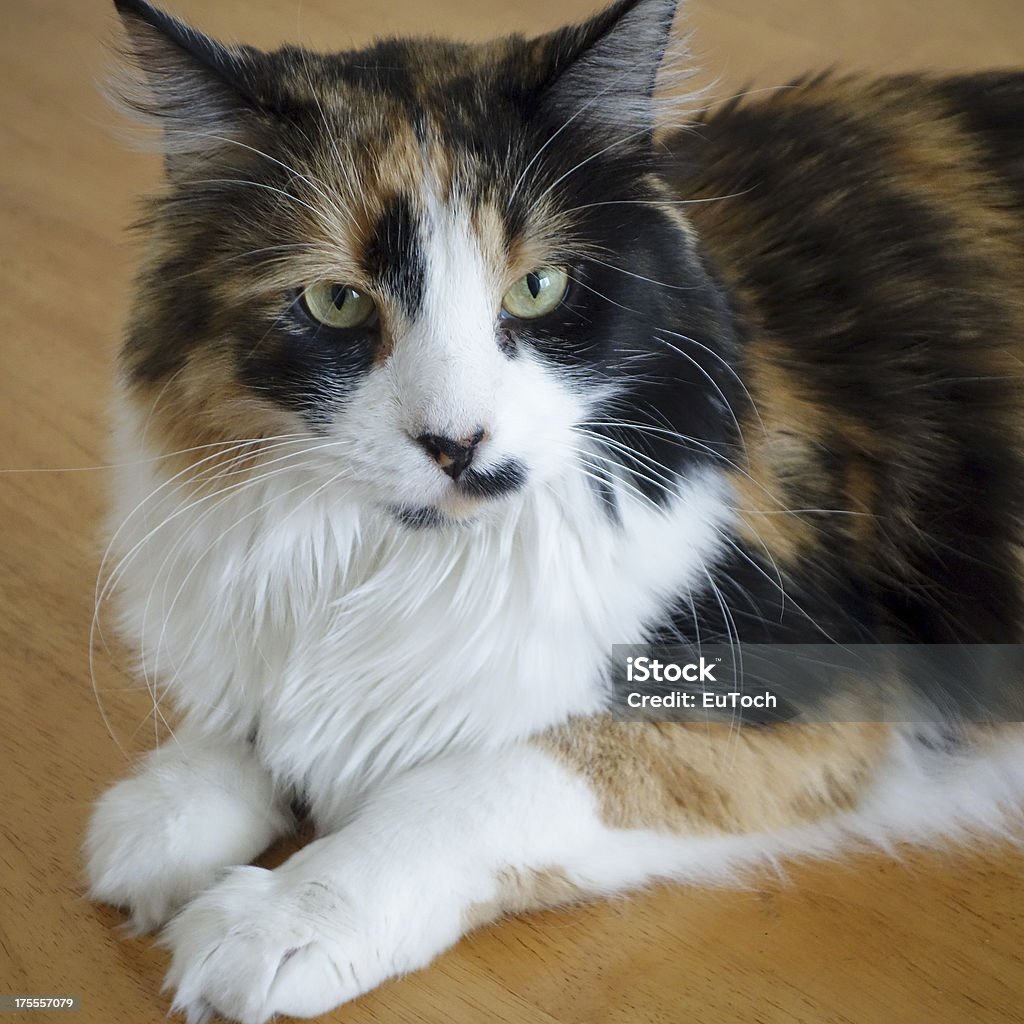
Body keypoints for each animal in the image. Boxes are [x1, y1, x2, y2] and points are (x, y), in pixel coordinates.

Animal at [83, 2, 1024, 1024]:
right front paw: (160, 815)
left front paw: (279, 920)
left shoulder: (801, 691)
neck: (399, 559)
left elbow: (478, 783)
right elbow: (256, 712)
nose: (456, 443)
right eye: (335, 302)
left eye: (539, 288)